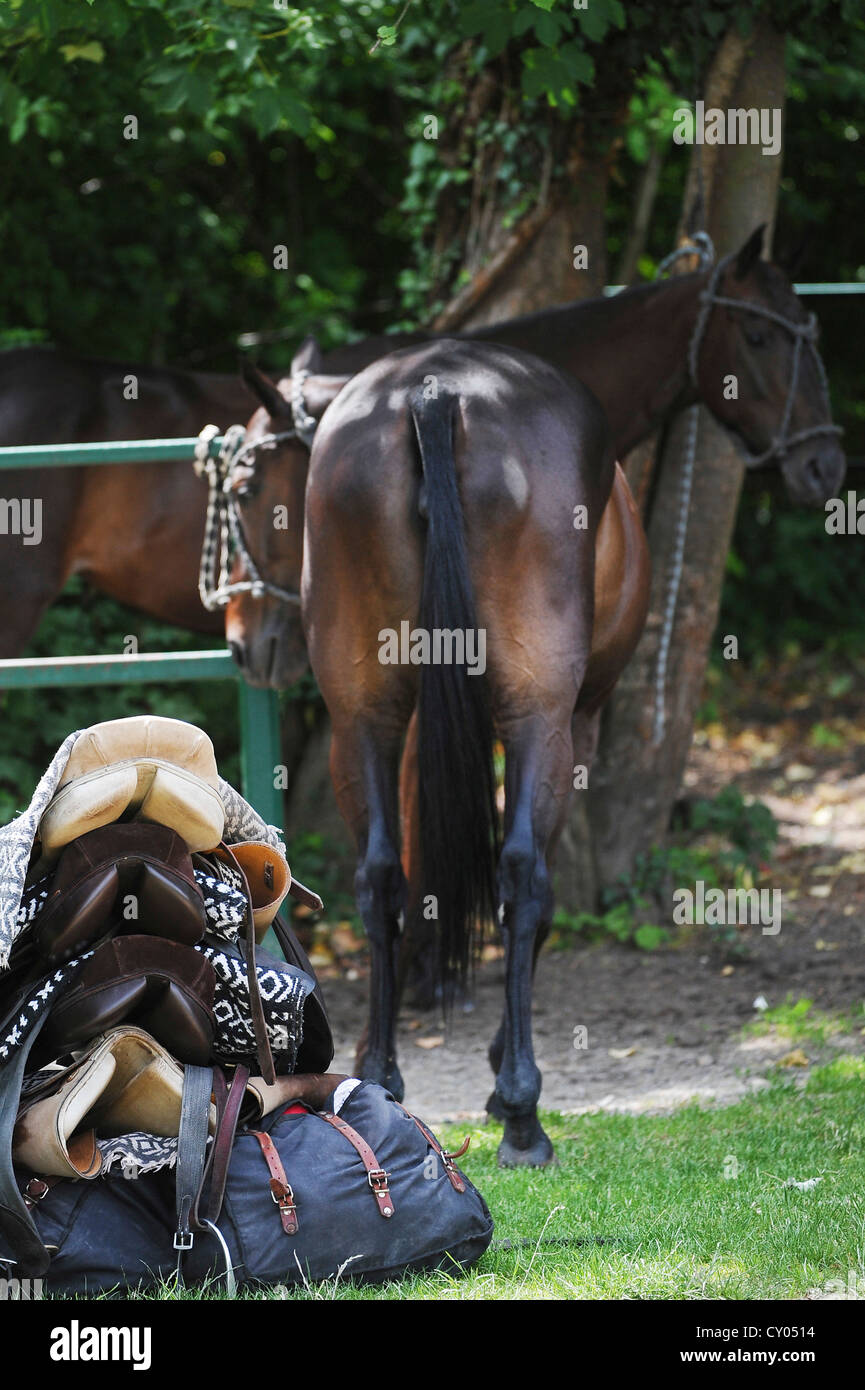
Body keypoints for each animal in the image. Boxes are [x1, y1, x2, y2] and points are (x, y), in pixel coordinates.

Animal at [301, 337, 649, 1166]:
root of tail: (437, 393)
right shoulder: (574, 722)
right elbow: (536, 891)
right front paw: (501, 1078)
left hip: (361, 712)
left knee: (378, 876)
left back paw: (379, 1078)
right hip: (538, 714)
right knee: (519, 874)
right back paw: (524, 1115)